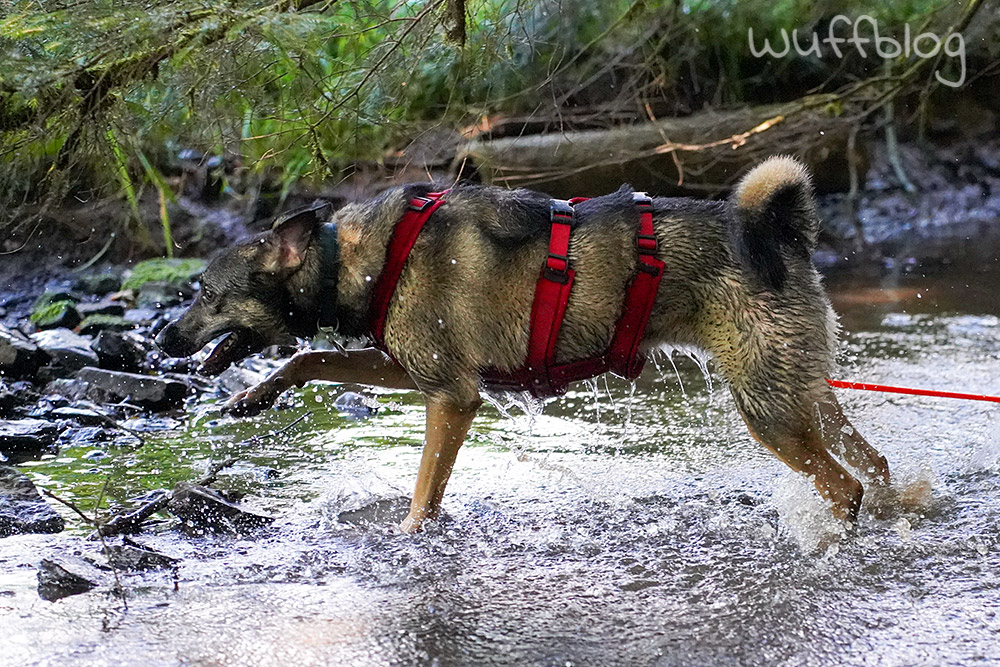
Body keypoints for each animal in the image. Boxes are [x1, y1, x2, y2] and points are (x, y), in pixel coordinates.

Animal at [156, 155, 892, 532]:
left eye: (206, 293)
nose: (161, 338)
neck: (357, 261)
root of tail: (780, 233)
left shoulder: (453, 397)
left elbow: (424, 494)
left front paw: (411, 540)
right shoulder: (414, 369)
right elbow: (312, 355)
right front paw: (256, 395)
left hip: (767, 411)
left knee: (846, 486)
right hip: (802, 393)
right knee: (874, 462)